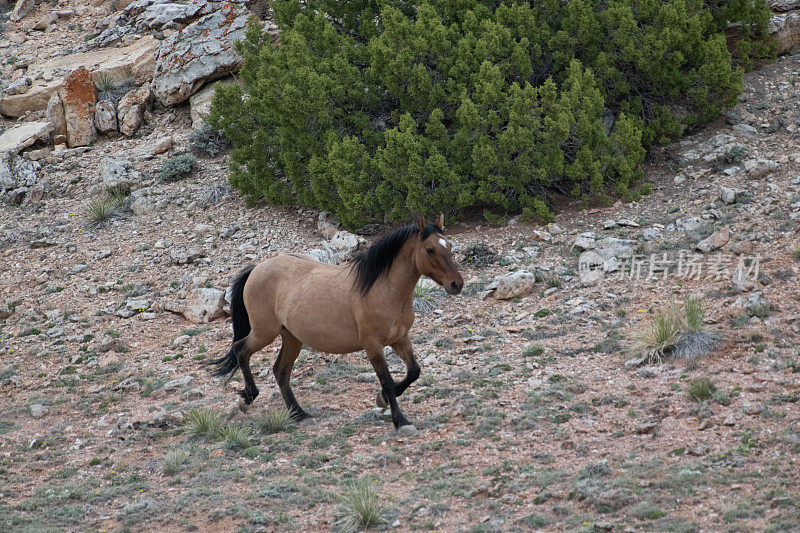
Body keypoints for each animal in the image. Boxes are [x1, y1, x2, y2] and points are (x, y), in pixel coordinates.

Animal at [209, 214, 466, 430]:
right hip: (265, 332)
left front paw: (382, 400)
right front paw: (400, 420)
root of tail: (257, 268)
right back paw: (248, 397)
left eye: (450, 246)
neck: (384, 290)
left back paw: (299, 414)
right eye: (430, 249)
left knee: (280, 371)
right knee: (240, 350)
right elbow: (387, 380)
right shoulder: (373, 345)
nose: (456, 284)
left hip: (291, 337)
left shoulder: (400, 339)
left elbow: (414, 371)